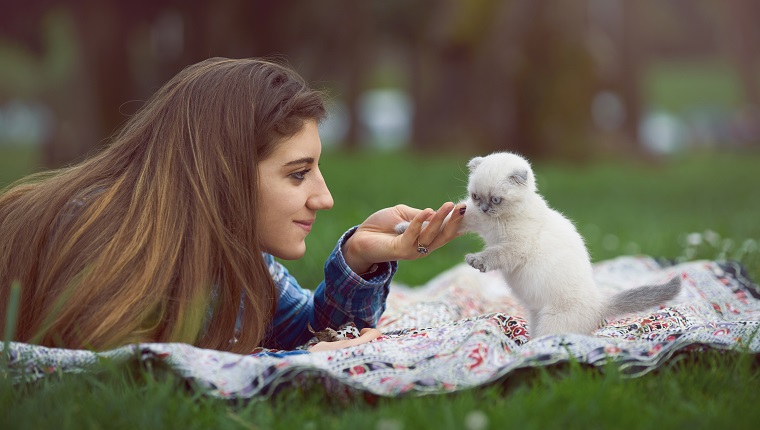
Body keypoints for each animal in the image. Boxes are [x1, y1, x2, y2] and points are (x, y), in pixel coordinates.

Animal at [398, 152, 684, 340]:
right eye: (476, 197)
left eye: (496, 199)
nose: (484, 208)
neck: (496, 221)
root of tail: (599, 302)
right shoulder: (470, 217)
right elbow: (442, 219)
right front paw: (405, 228)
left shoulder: (513, 248)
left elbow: (493, 253)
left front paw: (476, 261)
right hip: (536, 318)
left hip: (552, 324)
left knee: (547, 345)